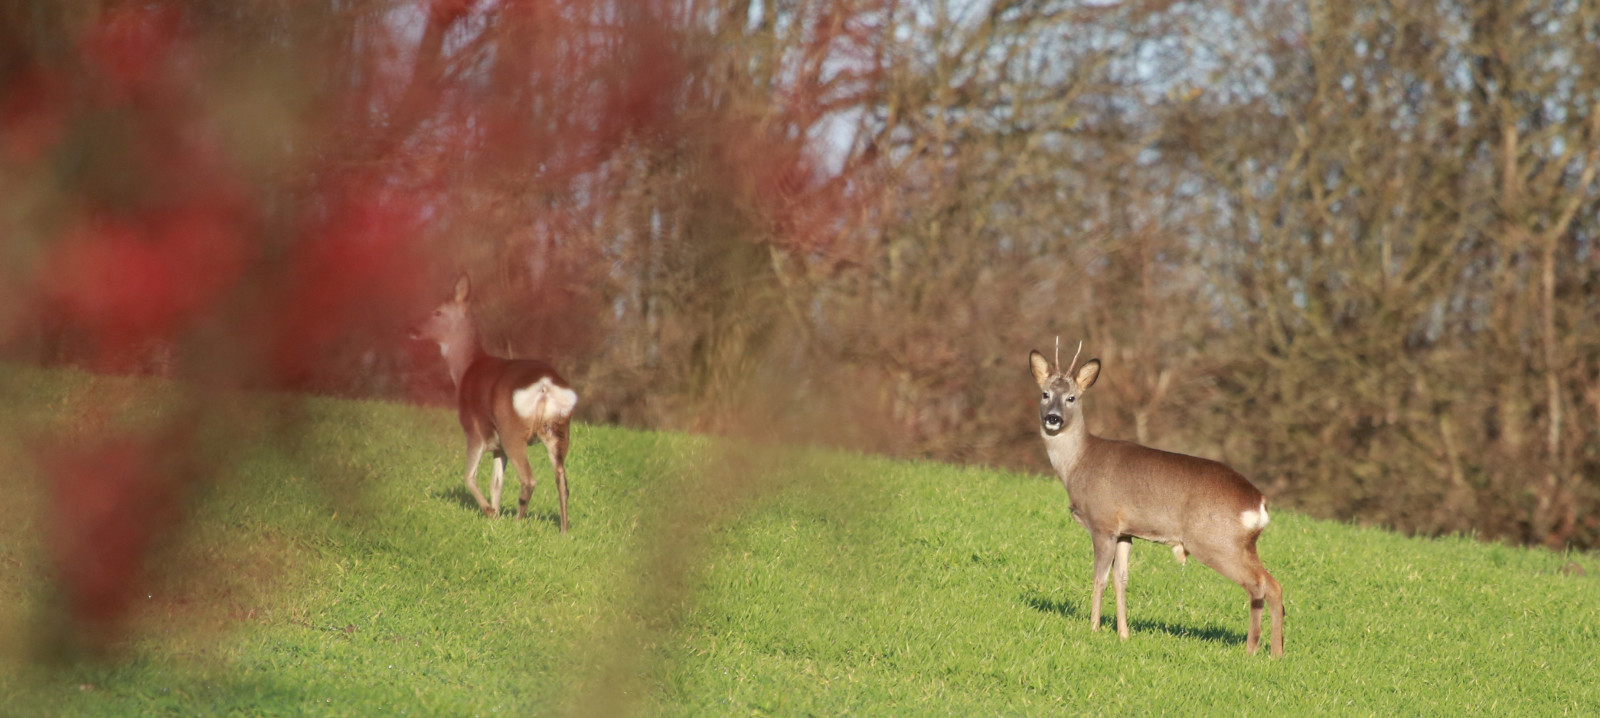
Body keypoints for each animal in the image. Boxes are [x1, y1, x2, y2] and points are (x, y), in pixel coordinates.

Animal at [412, 275, 578, 532]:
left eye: (437, 311)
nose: (413, 329)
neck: (465, 369)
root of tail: (545, 385)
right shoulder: (498, 447)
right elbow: (496, 482)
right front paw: (496, 513)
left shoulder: (474, 431)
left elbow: (469, 476)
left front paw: (490, 512)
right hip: (559, 431)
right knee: (562, 481)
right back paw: (563, 531)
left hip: (513, 430)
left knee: (529, 479)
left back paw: (518, 524)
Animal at [1029, 342, 1284, 656]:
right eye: (1045, 393)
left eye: (1071, 398)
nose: (1053, 418)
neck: (1078, 463)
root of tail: (1259, 503)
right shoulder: (1125, 532)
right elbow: (1121, 580)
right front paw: (1123, 634)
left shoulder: (1103, 523)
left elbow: (1099, 578)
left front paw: (1094, 628)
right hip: (1244, 545)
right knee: (1274, 585)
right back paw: (1277, 653)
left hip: (1216, 542)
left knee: (1257, 585)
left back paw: (1252, 649)